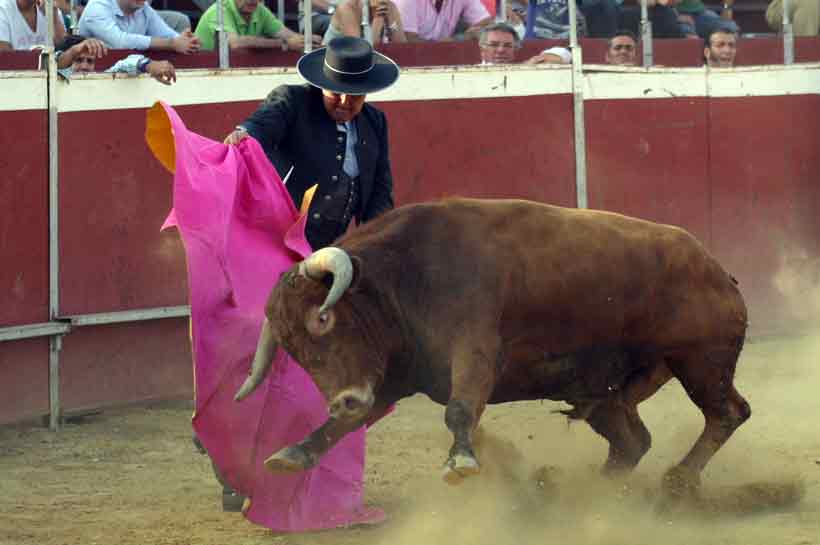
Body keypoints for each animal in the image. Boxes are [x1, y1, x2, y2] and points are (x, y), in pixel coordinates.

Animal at [234, 198, 752, 496]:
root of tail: (717, 270)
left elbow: (460, 409)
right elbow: (344, 425)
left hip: (701, 362)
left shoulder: (475, 350)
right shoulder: (391, 377)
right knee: (632, 442)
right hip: (603, 392)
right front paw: (294, 454)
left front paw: (461, 461)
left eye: (324, 318)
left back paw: (680, 479)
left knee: (727, 413)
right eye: (292, 350)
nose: (342, 399)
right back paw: (585, 490)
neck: (405, 276)